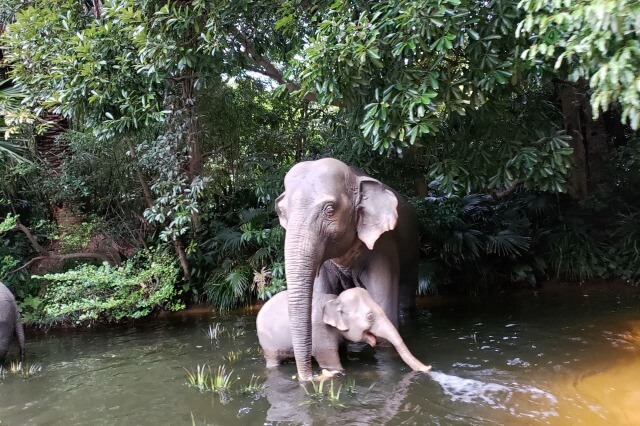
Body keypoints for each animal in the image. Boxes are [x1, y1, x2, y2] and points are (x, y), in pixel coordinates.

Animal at [256, 288, 430, 374]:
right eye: (370, 317)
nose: (429, 368)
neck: (335, 300)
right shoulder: (319, 332)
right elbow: (330, 362)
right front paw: (338, 371)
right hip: (268, 343)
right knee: (273, 361)